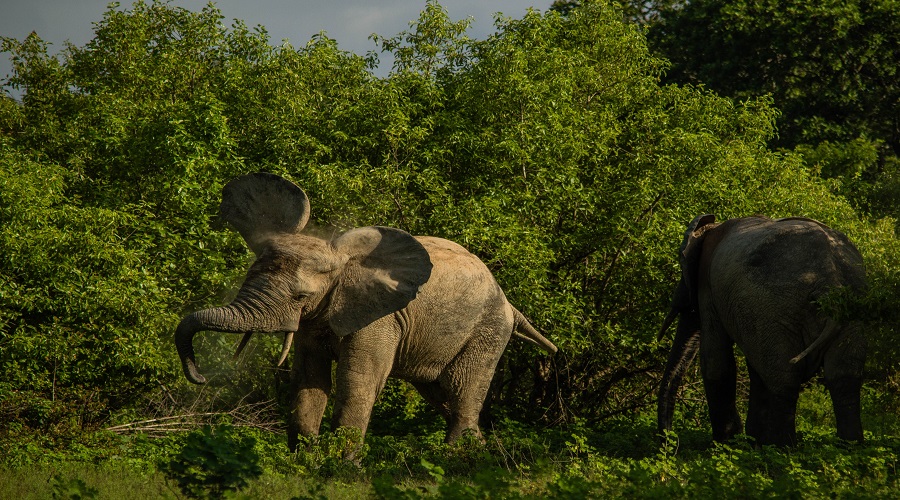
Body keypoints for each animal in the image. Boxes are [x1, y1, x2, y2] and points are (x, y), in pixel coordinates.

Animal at [173, 172, 556, 450]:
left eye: (300, 296)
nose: (201, 377)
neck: (341, 263)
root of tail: (510, 304)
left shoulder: (380, 319)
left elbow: (357, 381)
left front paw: (339, 469)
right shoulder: (317, 320)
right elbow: (309, 379)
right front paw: (304, 461)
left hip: (488, 330)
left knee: (462, 389)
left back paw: (457, 458)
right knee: (439, 393)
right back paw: (480, 451)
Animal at [656, 214, 868, 446]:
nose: (668, 441)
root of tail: (830, 282)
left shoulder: (708, 285)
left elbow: (715, 360)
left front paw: (728, 442)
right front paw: (751, 441)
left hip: (776, 306)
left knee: (784, 378)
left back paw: (783, 447)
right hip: (850, 308)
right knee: (844, 377)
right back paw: (849, 447)